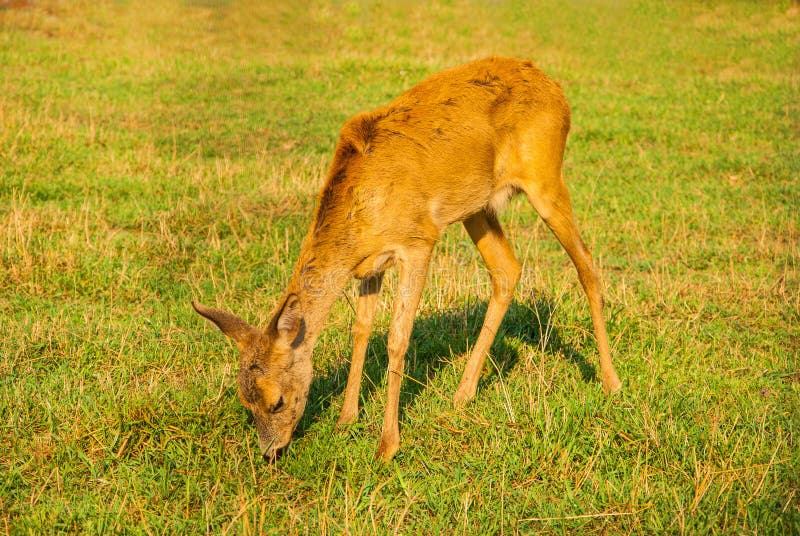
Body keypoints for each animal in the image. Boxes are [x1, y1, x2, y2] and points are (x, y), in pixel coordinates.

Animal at [192, 57, 622, 462]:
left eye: (277, 400)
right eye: (245, 402)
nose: (271, 451)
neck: (360, 205)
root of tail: (554, 87)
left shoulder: (418, 241)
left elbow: (398, 338)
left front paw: (387, 444)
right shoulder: (369, 264)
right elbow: (361, 329)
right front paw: (346, 419)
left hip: (544, 175)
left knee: (586, 264)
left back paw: (610, 382)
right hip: (477, 207)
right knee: (507, 269)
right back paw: (463, 393)